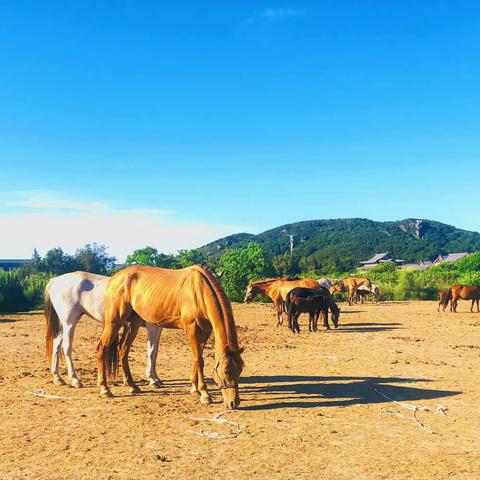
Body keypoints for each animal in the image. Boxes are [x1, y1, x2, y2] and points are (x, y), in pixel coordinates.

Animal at [96, 266, 244, 408]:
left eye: (240, 370)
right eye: (225, 371)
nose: (233, 402)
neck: (199, 290)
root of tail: (113, 279)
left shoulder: (205, 331)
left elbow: (197, 358)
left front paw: (194, 388)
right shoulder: (191, 329)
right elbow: (199, 360)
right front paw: (204, 394)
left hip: (133, 323)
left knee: (123, 350)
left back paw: (132, 386)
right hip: (114, 322)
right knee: (102, 348)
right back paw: (105, 389)